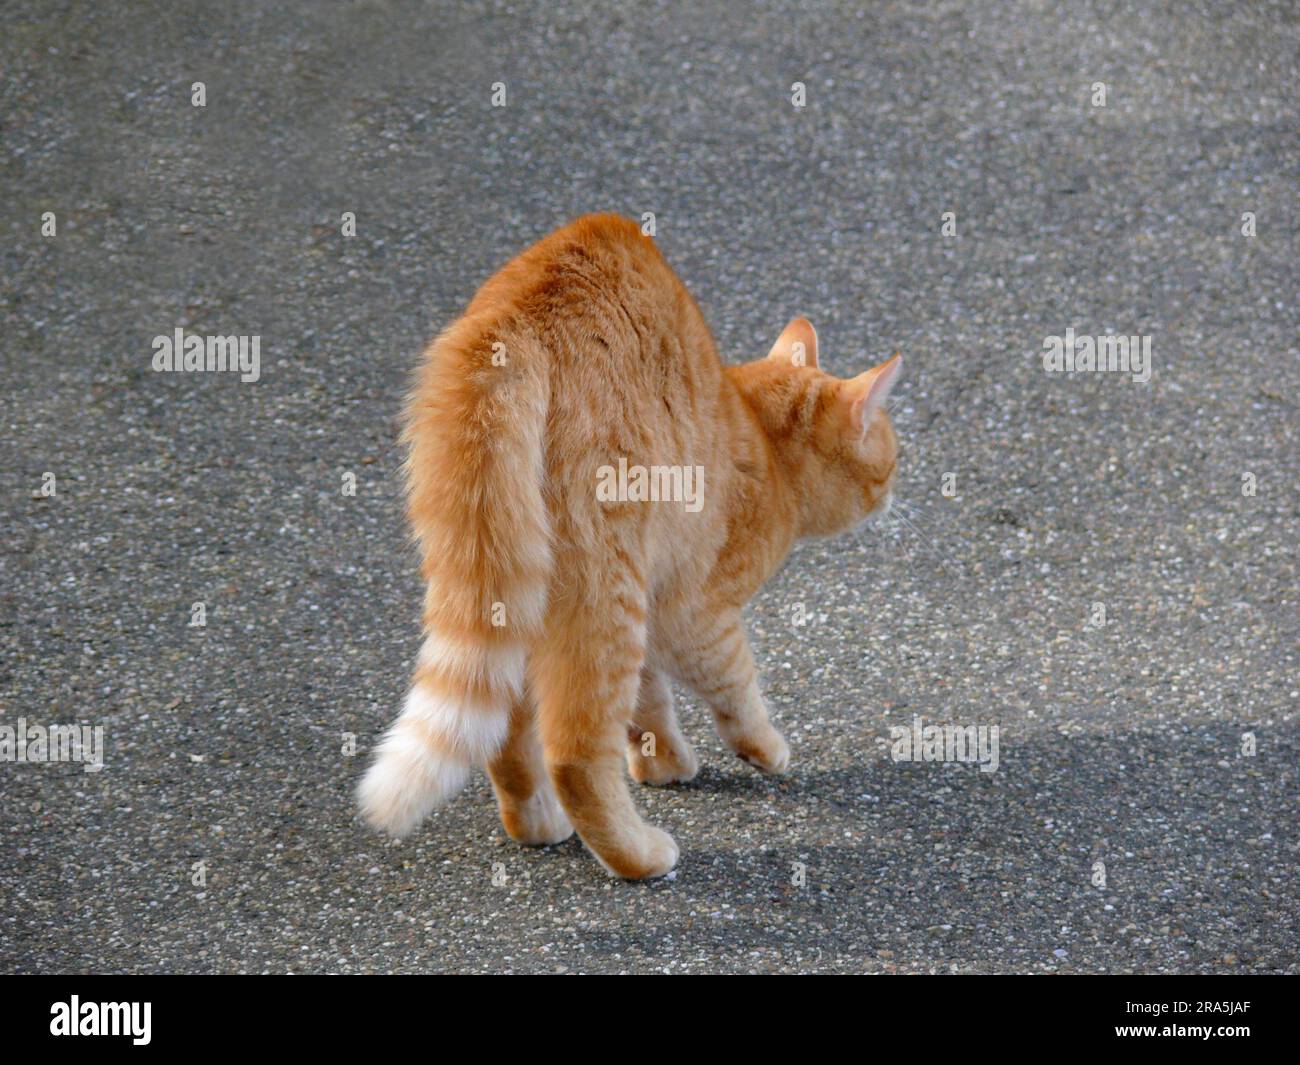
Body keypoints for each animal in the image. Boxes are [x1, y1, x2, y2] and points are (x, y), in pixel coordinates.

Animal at [361, 211, 899, 879]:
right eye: (889, 459)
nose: (896, 488)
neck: (762, 437)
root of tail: (508, 323)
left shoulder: (654, 593)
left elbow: (649, 703)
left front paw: (661, 763)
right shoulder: (692, 612)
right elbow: (736, 687)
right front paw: (763, 749)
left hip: (523, 585)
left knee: (504, 731)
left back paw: (537, 824)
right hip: (605, 585)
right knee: (572, 751)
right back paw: (638, 855)